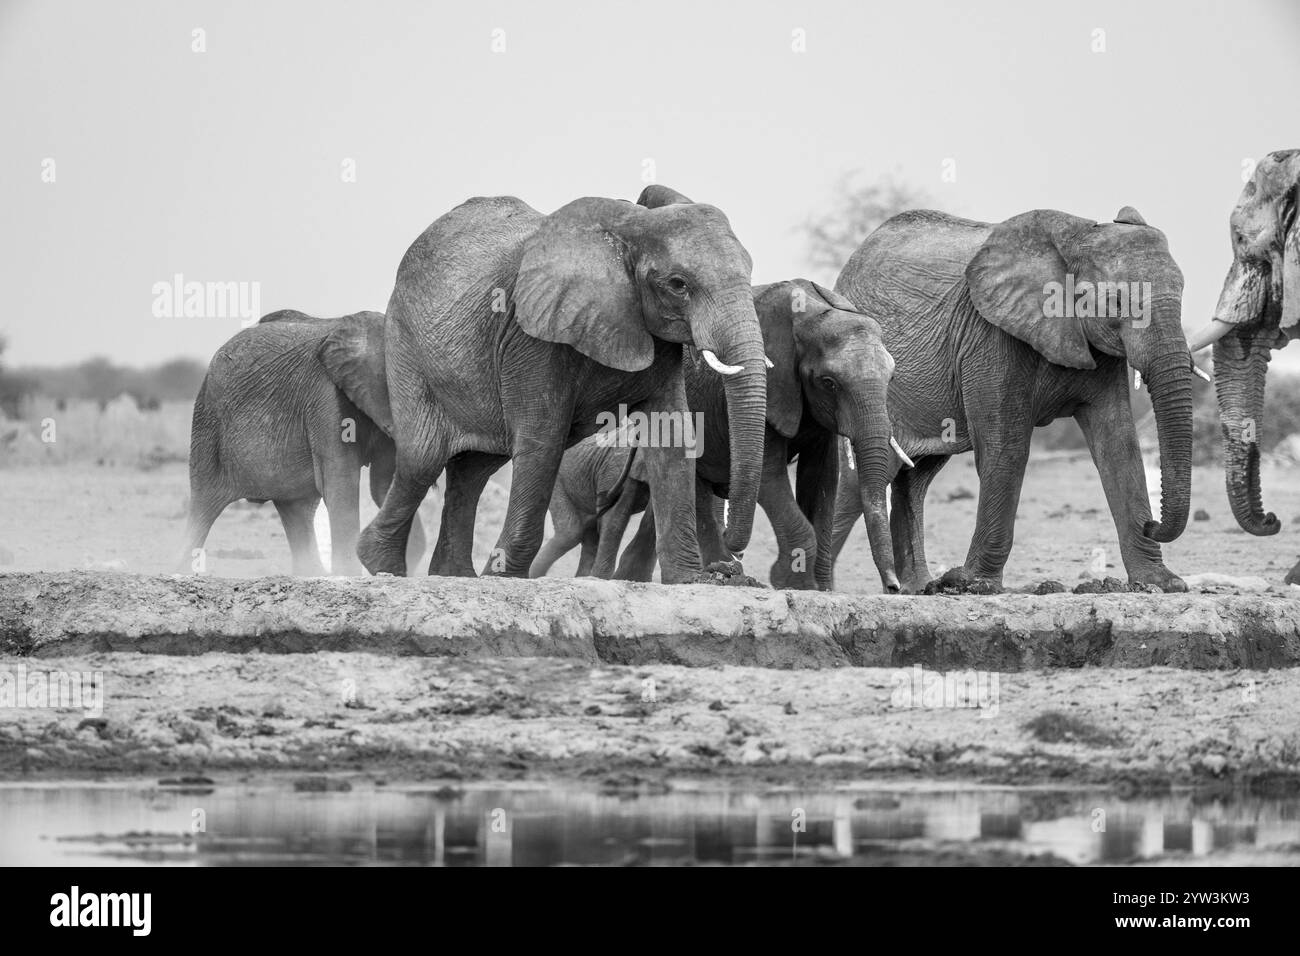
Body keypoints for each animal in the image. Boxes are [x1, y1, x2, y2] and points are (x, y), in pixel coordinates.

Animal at [180, 310, 425, 575]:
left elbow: (383, 483)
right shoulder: (326, 398)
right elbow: (342, 481)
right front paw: (349, 576)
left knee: (296, 508)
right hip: (208, 423)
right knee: (203, 506)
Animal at [347, 188, 769, 584]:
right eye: (678, 284)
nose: (733, 561)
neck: (631, 226)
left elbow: (672, 438)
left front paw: (692, 580)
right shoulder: (530, 332)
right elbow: (542, 439)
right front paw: (505, 580)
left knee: (473, 472)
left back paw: (455, 575)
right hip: (406, 348)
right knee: (422, 460)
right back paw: (384, 566)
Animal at [530, 276, 906, 591]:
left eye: (891, 378)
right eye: (829, 382)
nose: (893, 587)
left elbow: (823, 480)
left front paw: (819, 589)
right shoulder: (773, 389)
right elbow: (768, 475)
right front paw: (792, 583)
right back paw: (715, 572)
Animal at [828, 206, 1198, 593]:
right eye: (1117, 302)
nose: (1152, 525)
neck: (1077, 236)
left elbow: (1118, 444)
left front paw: (1164, 583)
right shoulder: (988, 335)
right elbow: (1006, 446)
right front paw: (975, 584)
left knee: (915, 479)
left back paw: (920, 590)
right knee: (860, 481)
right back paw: (821, 585)